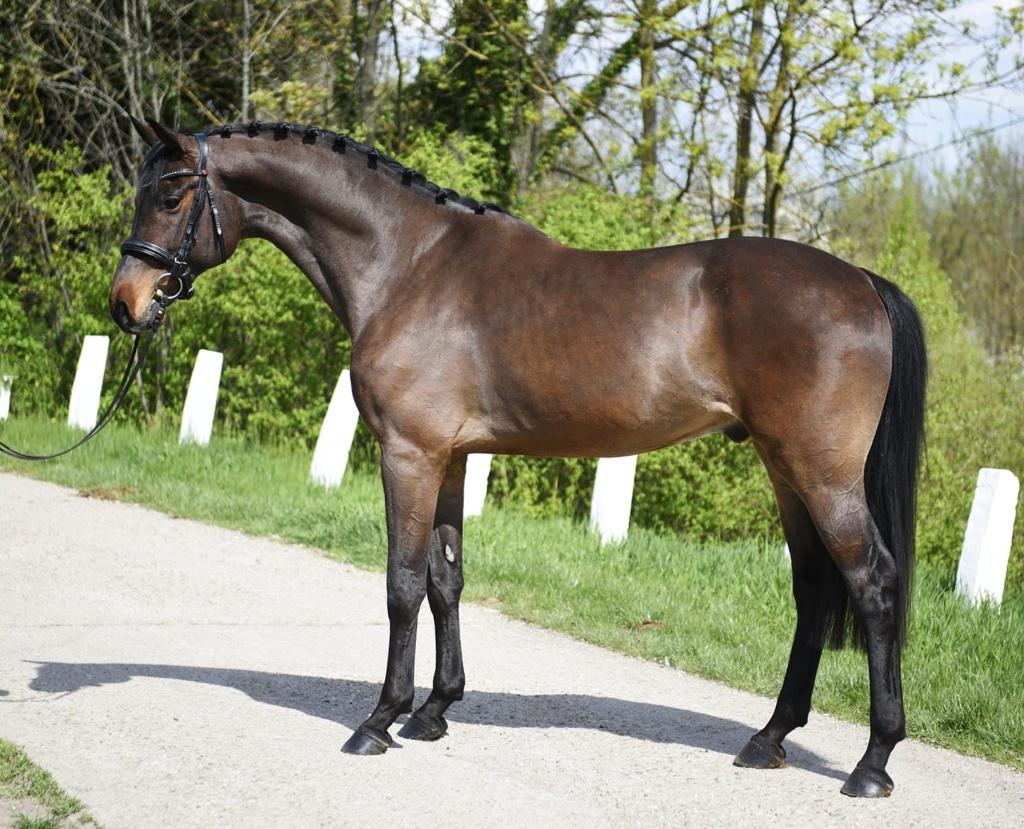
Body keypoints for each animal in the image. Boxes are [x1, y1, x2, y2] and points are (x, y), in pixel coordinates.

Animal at [110, 117, 926, 799]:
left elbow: (402, 583)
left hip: (820, 473)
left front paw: (379, 719)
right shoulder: (450, 458)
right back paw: (770, 738)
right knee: (815, 587)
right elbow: (446, 580)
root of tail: (862, 282)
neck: (409, 265)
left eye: (172, 194)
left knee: (874, 583)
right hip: (786, 470)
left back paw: (872, 763)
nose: (126, 302)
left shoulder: (408, 454)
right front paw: (434, 711)